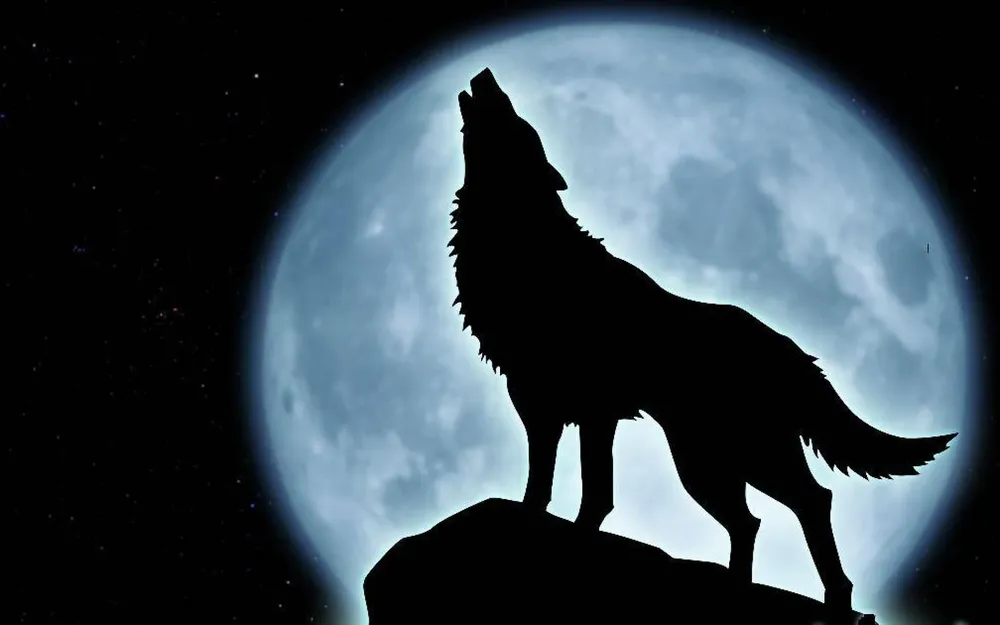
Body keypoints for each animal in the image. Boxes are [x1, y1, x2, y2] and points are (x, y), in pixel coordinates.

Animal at [448, 68, 956, 615]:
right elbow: (557, 489)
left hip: (730, 457)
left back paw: (833, 598)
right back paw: (741, 587)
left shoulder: (576, 409)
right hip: (711, 462)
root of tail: (790, 348)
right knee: (753, 520)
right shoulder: (555, 409)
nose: (486, 75)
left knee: (809, 502)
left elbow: (579, 491)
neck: (529, 246)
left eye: (518, 123)